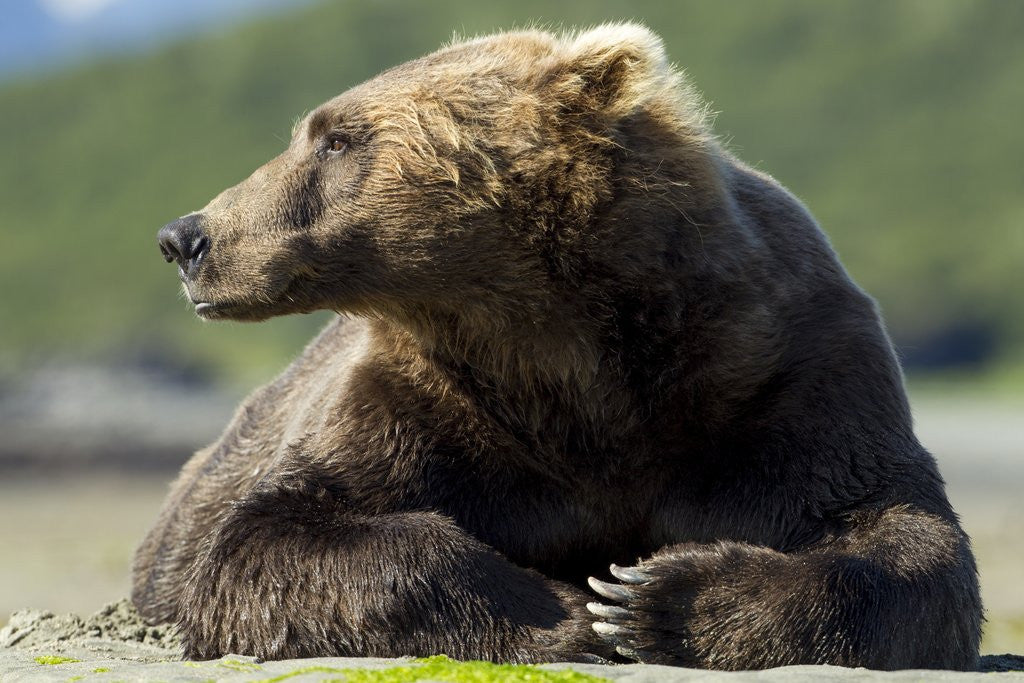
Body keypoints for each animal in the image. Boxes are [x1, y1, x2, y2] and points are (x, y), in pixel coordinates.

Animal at [134, 24, 982, 670]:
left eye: (336, 138)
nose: (185, 236)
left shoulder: (786, 378)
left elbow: (902, 538)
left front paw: (651, 597)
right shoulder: (429, 405)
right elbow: (273, 534)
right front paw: (572, 608)